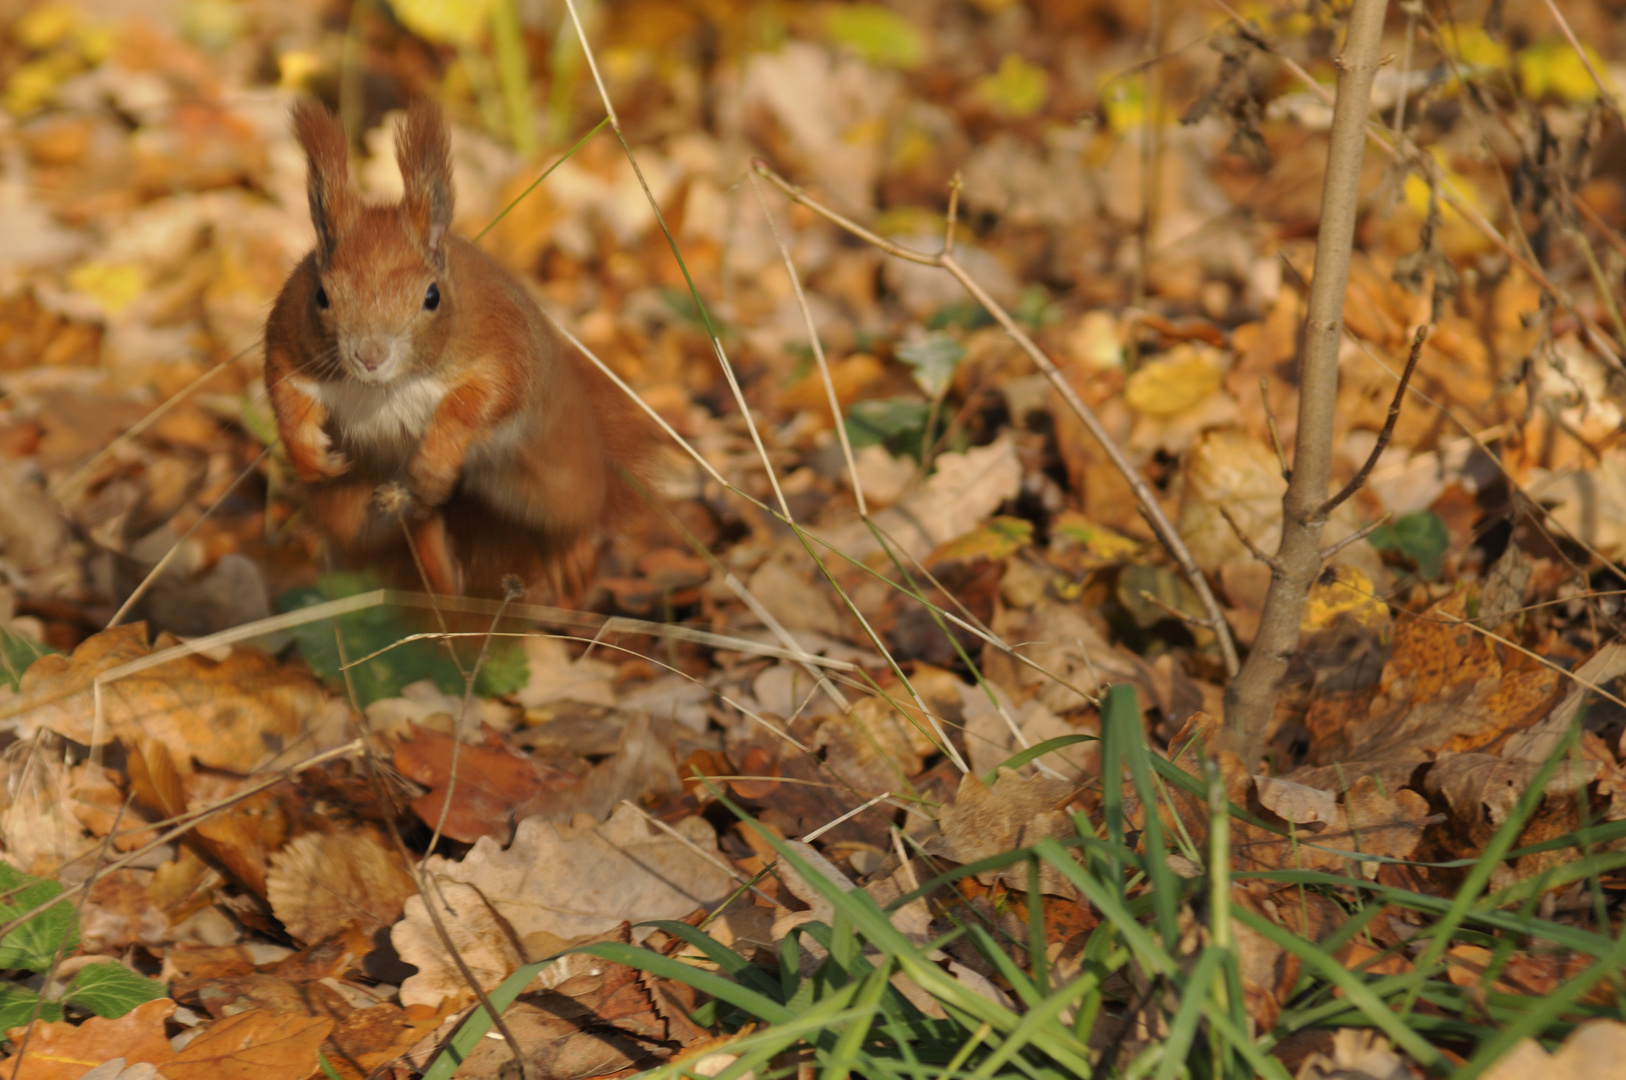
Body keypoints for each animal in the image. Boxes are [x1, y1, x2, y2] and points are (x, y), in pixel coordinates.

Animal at [263, 100, 650, 598]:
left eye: (432, 297)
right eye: (321, 296)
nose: (369, 357)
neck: (388, 387)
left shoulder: (501, 344)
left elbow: (481, 399)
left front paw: (435, 457)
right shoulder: (287, 339)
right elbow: (285, 391)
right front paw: (308, 454)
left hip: (555, 479)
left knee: (568, 520)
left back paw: (567, 558)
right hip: (353, 508)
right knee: (419, 522)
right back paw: (443, 577)